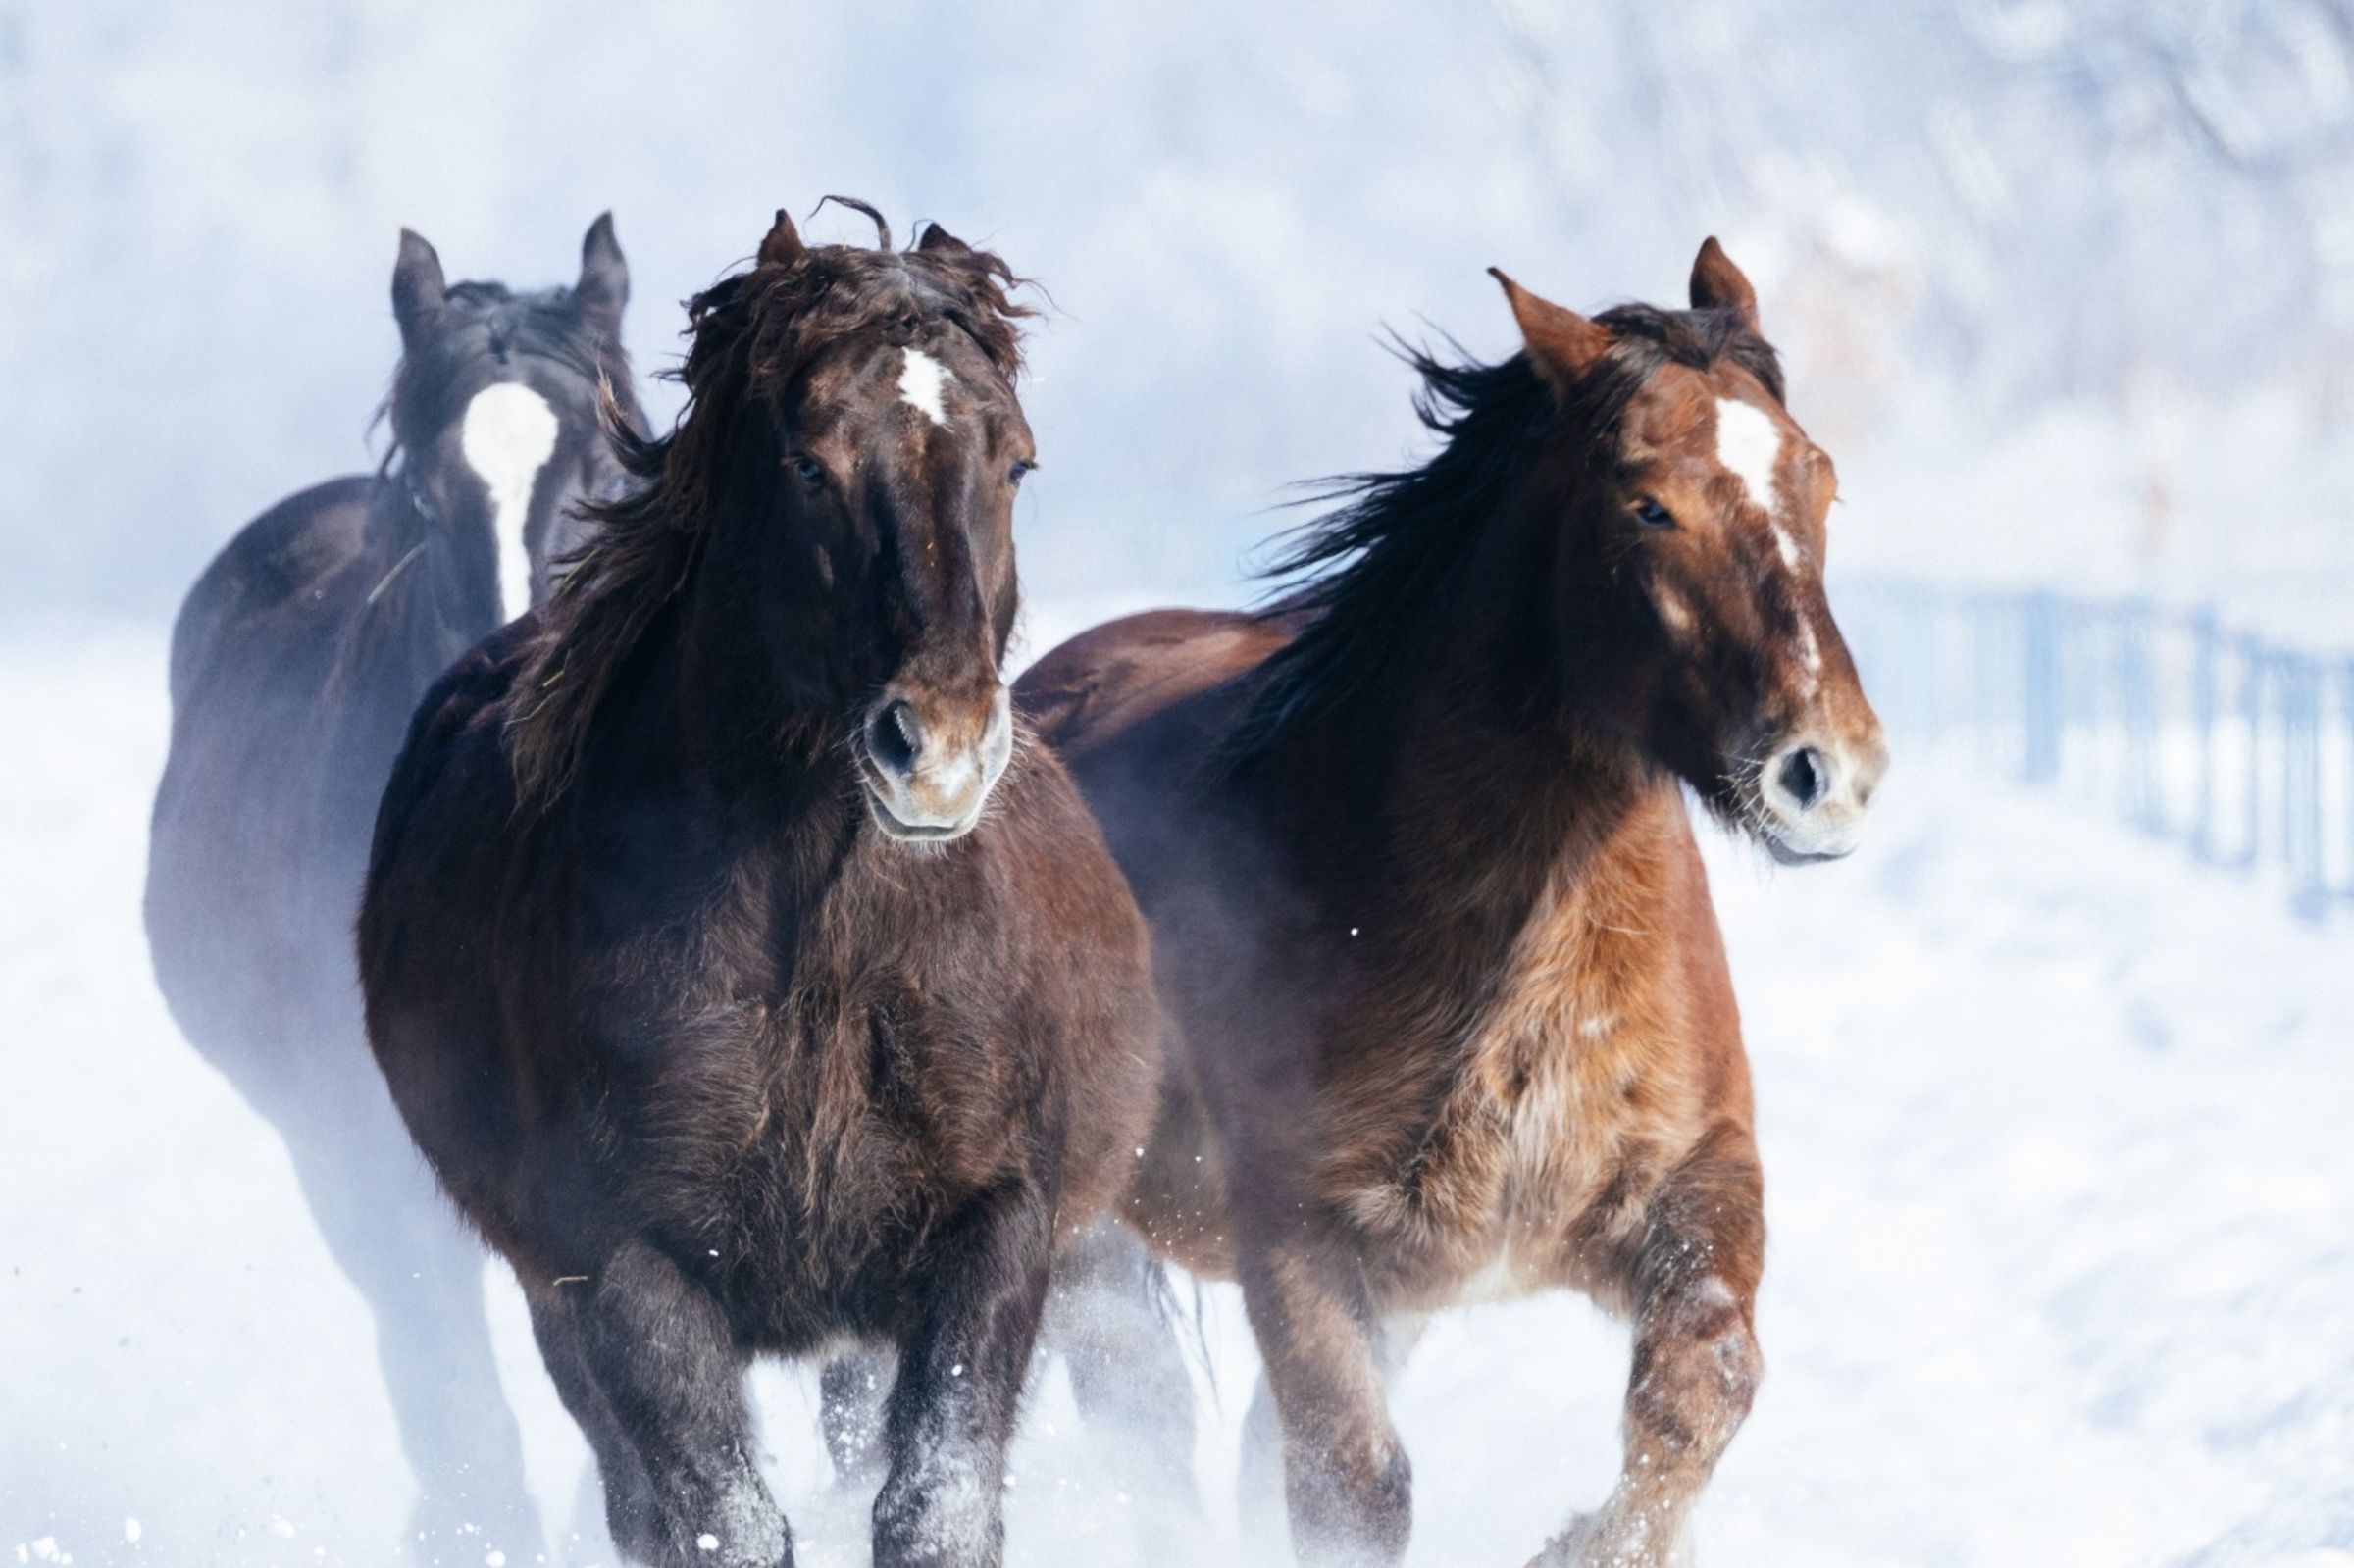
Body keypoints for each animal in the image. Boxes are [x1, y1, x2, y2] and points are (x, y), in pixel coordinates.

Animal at [356, 203, 1167, 1568]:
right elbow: (717, 1523)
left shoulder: (995, 1228)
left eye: (1015, 463)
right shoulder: (622, 1265)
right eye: (808, 465)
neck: (822, 945)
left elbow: (934, 1505)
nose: (940, 752)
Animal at [1016, 240, 1889, 1567]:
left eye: (1819, 478)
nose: (1825, 774)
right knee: (1146, 1419)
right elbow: (1353, 1487)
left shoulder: (1696, 1182)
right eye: (1647, 503)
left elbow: (1705, 1387)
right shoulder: (1299, 1234)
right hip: (1089, 1240)